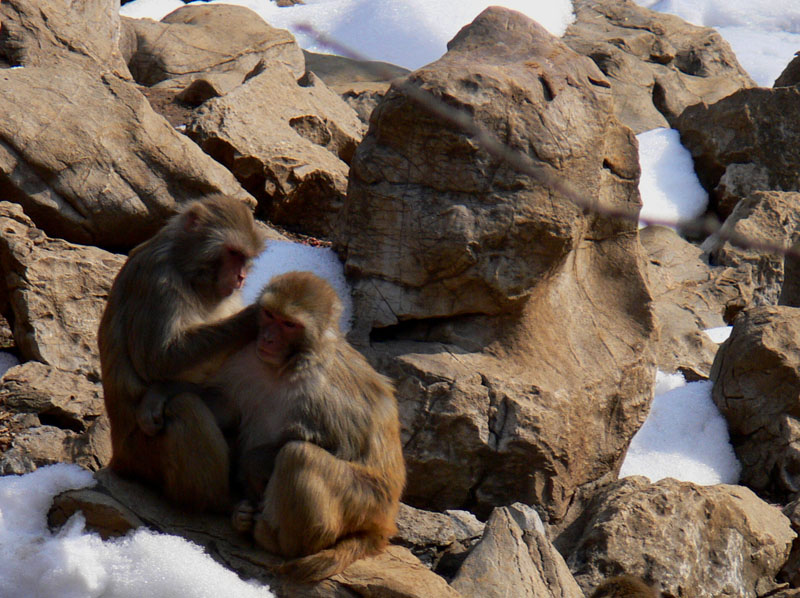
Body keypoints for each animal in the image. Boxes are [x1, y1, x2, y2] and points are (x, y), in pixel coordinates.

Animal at [97, 195, 262, 512]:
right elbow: (157, 360)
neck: (187, 269)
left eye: (244, 257)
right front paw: (253, 317)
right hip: (143, 457)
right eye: (233, 253)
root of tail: (119, 459)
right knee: (184, 407)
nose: (241, 277)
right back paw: (218, 503)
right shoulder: (158, 281)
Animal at [209, 274, 404, 584]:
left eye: (290, 325)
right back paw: (244, 517)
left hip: (363, 502)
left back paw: (280, 541)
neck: (288, 366)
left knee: (298, 455)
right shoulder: (245, 360)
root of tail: (383, 523)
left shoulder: (323, 392)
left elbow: (340, 446)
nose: (268, 338)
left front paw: (252, 465)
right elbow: (229, 410)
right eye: (270, 315)